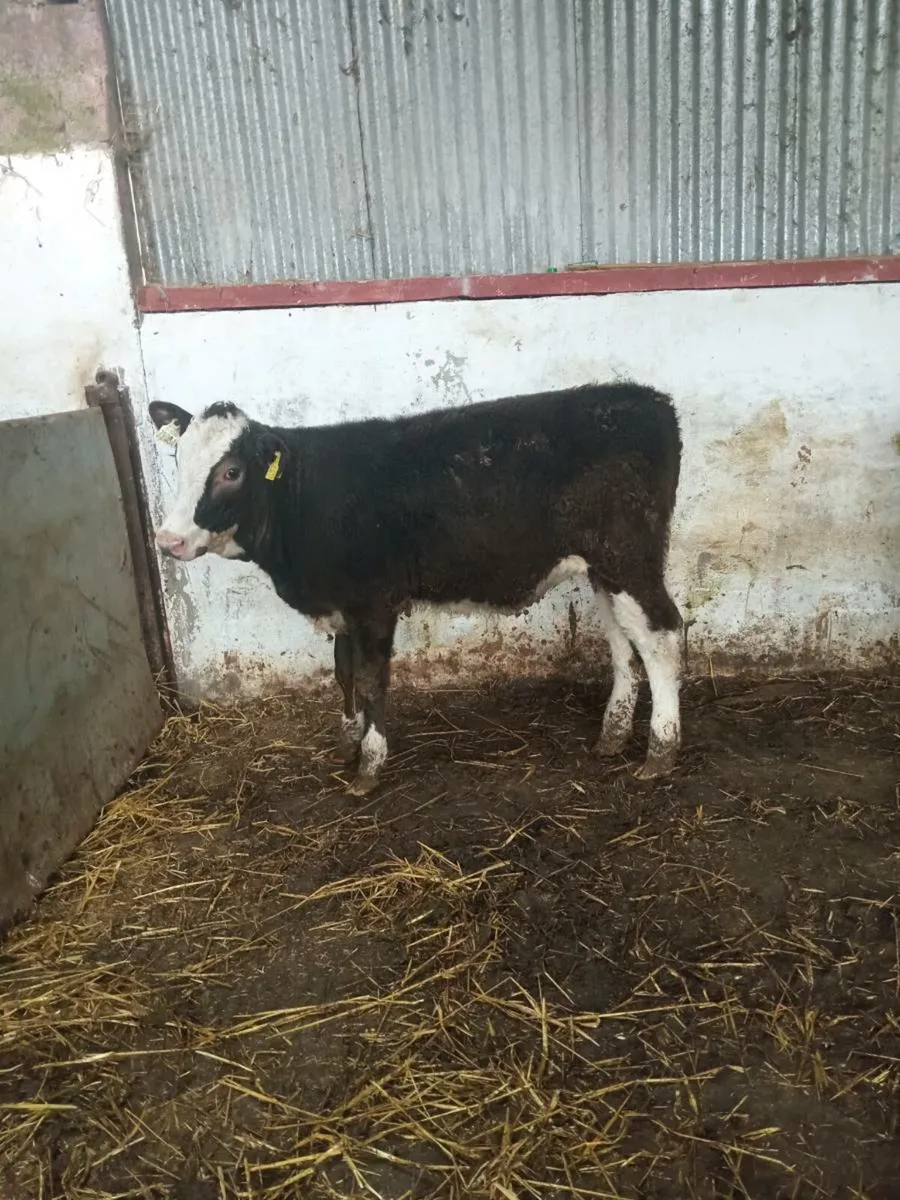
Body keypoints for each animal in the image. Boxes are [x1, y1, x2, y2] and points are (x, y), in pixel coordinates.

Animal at [148, 382, 683, 796]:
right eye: (178, 461)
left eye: (231, 471)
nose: (168, 539)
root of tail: (649, 400)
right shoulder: (343, 606)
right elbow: (342, 674)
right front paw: (347, 742)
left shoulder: (373, 602)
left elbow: (370, 679)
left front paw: (370, 763)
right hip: (603, 570)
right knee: (623, 641)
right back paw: (613, 735)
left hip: (629, 559)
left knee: (662, 634)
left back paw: (661, 750)